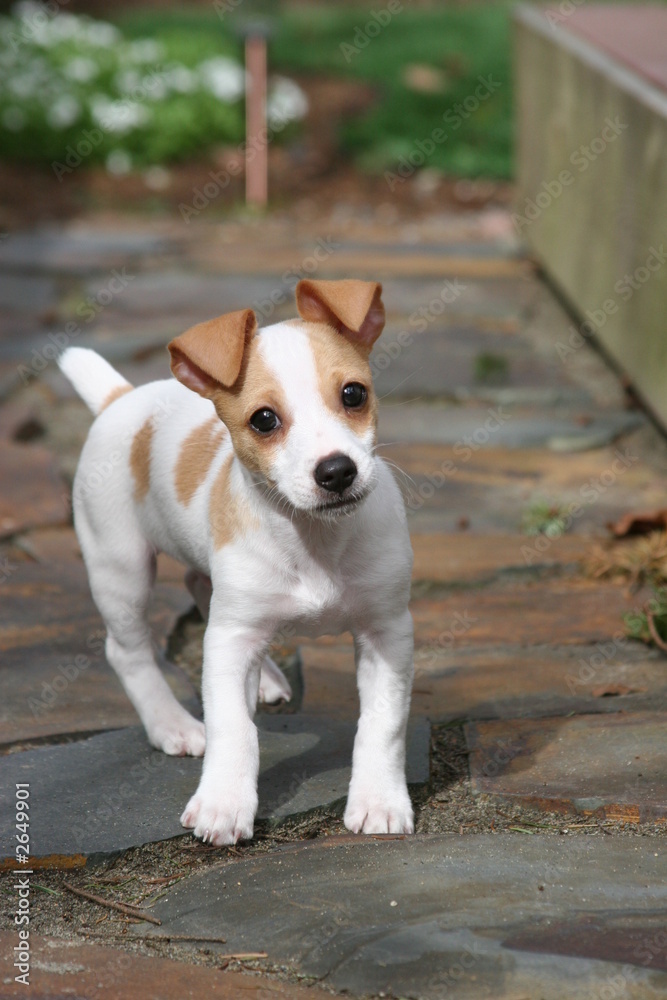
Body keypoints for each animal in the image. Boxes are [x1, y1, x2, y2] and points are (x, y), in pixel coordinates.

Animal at [58, 276, 412, 844]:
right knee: (127, 651)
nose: (336, 471)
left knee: (201, 587)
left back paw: (262, 678)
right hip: (121, 569)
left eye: (353, 394)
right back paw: (172, 725)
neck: (313, 541)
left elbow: (383, 723)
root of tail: (122, 397)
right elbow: (232, 727)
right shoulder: (229, 642)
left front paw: (379, 800)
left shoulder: (387, 632)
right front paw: (223, 802)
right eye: (264, 420)